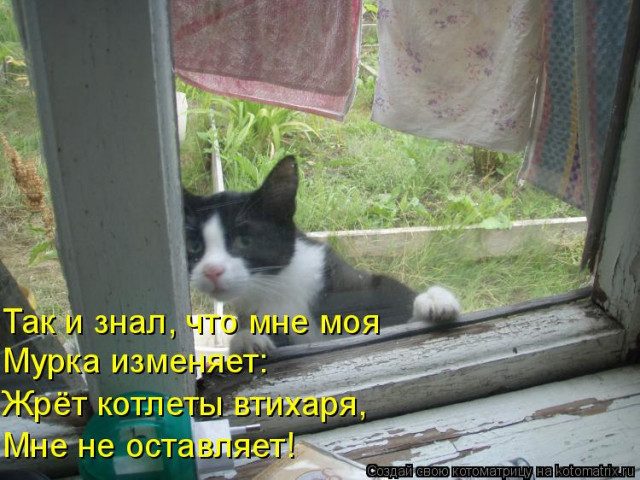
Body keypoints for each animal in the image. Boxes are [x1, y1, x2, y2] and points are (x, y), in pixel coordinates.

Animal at [183, 156, 460, 354]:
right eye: (194, 246)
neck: (277, 286)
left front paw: (432, 300)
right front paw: (246, 340)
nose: (212, 270)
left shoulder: (341, 279)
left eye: (245, 241)